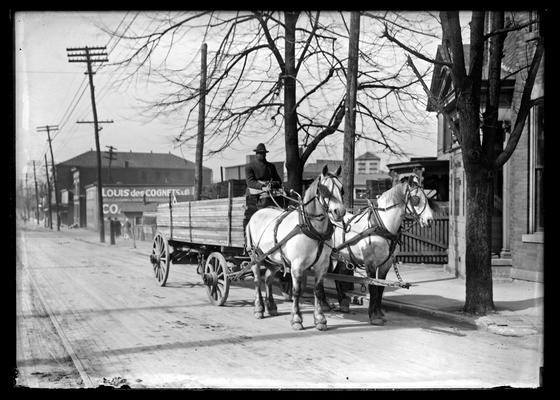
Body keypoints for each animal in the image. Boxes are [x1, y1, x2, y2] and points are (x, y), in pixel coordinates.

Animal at [246, 166, 346, 332]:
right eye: (324, 190)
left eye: (342, 189)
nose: (340, 212)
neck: (313, 229)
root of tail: (257, 213)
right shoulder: (297, 265)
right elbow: (296, 291)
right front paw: (297, 319)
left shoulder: (322, 265)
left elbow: (318, 291)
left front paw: (320, 319)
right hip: (255, 257)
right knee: (257, 280)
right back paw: (259, 308)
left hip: (274, 260)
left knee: (268, 279)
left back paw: (271, 306)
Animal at [322, 174, 436, 324]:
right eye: (416, 199)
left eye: (427, 198)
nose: (429, 220)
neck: (381, 225)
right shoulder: (370, 263)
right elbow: (373, 286)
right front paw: (373, 316)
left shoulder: (385, 264)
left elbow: (380, 287)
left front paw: (379, 313)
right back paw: (324, 304)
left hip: (343, 256)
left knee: (338, 275)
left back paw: (343, 303)